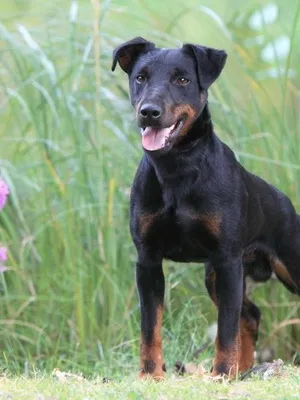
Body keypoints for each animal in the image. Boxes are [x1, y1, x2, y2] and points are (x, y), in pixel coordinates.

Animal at [111, 36, 298, 378]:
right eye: (141, 77)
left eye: (183, 79)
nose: (149, 112)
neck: (177, 169)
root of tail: (285, 201)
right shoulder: (148, 261)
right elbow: (150, 327)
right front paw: (150, 375)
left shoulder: (226, 261)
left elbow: (225, 329)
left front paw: (221, 374)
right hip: (216, 275)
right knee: (251, 314)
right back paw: (243, 371)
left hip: (284, 265)